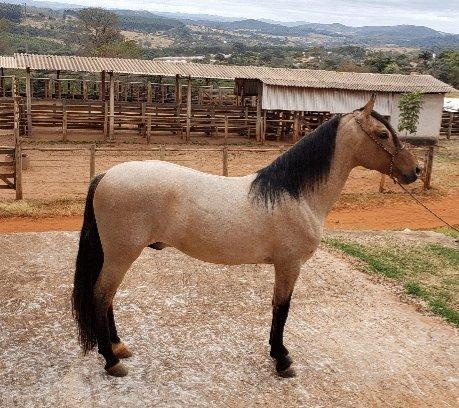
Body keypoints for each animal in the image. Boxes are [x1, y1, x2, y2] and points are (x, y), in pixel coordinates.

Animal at [71, 97, 420, 378]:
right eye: (382, 135)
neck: (296, 194)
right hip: (121, 255)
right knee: (100, 296)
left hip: (118, 256)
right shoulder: (289, 264)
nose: (414, 171)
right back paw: (111, 361)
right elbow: (281, 308)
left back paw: (118, 347)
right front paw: (281, 360)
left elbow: (280, 308)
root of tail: (106, 175)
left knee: (108, 298)